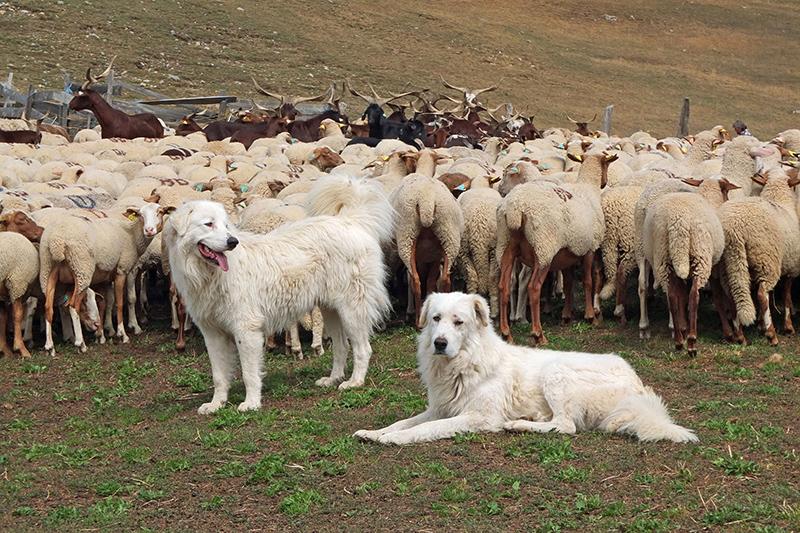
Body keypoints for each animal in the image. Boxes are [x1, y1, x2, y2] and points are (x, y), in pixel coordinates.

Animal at [165, 177, 394, 414]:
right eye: (209, 224)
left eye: (226, 225)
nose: (232, 242)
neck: (208, 274)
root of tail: (351, 221)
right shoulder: (212, 334)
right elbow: (219, 376)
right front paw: (216, 404)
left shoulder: (246, 330)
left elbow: (249, 374)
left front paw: (251, 403)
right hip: (331, 310)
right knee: (341, 346)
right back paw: (333, 379)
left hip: (352, 310)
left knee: (362, 348)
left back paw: (355, 382)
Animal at [356, 290, 700, 444]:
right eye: (436, 318)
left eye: (459, 322)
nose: (439, 343)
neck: (465, 363)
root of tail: (636, 384)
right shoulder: (440, 408)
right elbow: (403, 421)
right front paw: (375, 432)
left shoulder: (479, 417)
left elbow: (424, 429)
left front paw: (392, 440)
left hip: (556, 371)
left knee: (566, 425)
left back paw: (520, 425)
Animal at [494, 152, 620, 342]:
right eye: (607, 165)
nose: (604, 183)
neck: (588, 188)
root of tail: (515, 207)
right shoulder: (589, 248)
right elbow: (588, 281)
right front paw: (590, 316)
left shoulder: (567, 254)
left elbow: (568, 284)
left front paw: (566, 316)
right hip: (543, 249)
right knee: (534, 288)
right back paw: (538, 334)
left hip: (506, 246)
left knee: (504, 286)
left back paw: (506, 333)